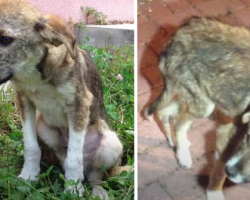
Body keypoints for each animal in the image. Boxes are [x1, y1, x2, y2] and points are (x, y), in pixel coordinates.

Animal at [0, 0, 129, 198]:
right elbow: (31, 146)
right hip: (43, 126)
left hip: (111, 143)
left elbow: (74, 158)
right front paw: (28, 176)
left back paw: (98, 191)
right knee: (64, 160)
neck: (35, 73)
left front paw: (73, 190)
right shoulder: (23, 100)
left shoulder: (79, 104)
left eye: (6, 40)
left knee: (95, 175)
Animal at [146, 16, 250, 199]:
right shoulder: (228, 136)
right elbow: (218, 172)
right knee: (178, 123)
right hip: (203, 104)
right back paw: (182, 156)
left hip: (199, 94)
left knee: (166, 112)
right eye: (249, 137)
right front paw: (214, 193)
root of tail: (175, 37)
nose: (231, 171)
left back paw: (175, 142)